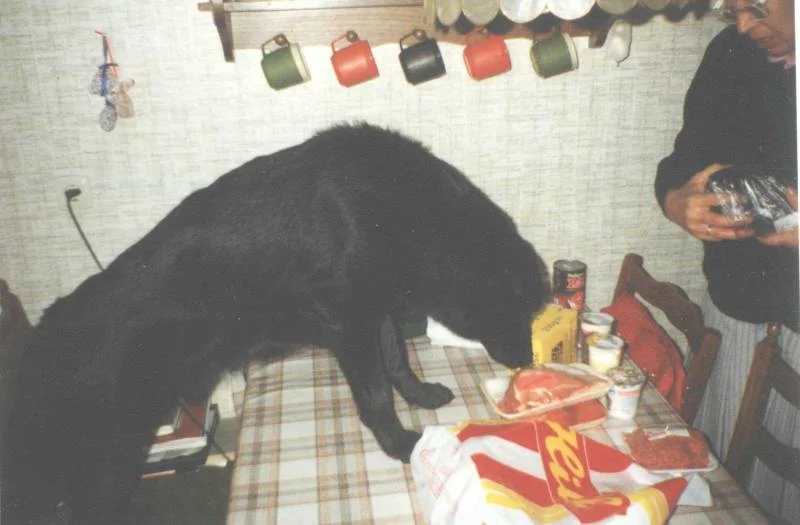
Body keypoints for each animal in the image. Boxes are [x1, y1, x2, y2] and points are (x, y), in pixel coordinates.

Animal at [0, 124, 548, 524]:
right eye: (516, 309)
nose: (526, 362)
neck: (412, 214)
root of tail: (37, 346)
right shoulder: (350, 324)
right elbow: (375, 394)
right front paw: (398, 445)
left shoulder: (376, 311)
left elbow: (397, 360)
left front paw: (420, 394)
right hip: (107, 459)